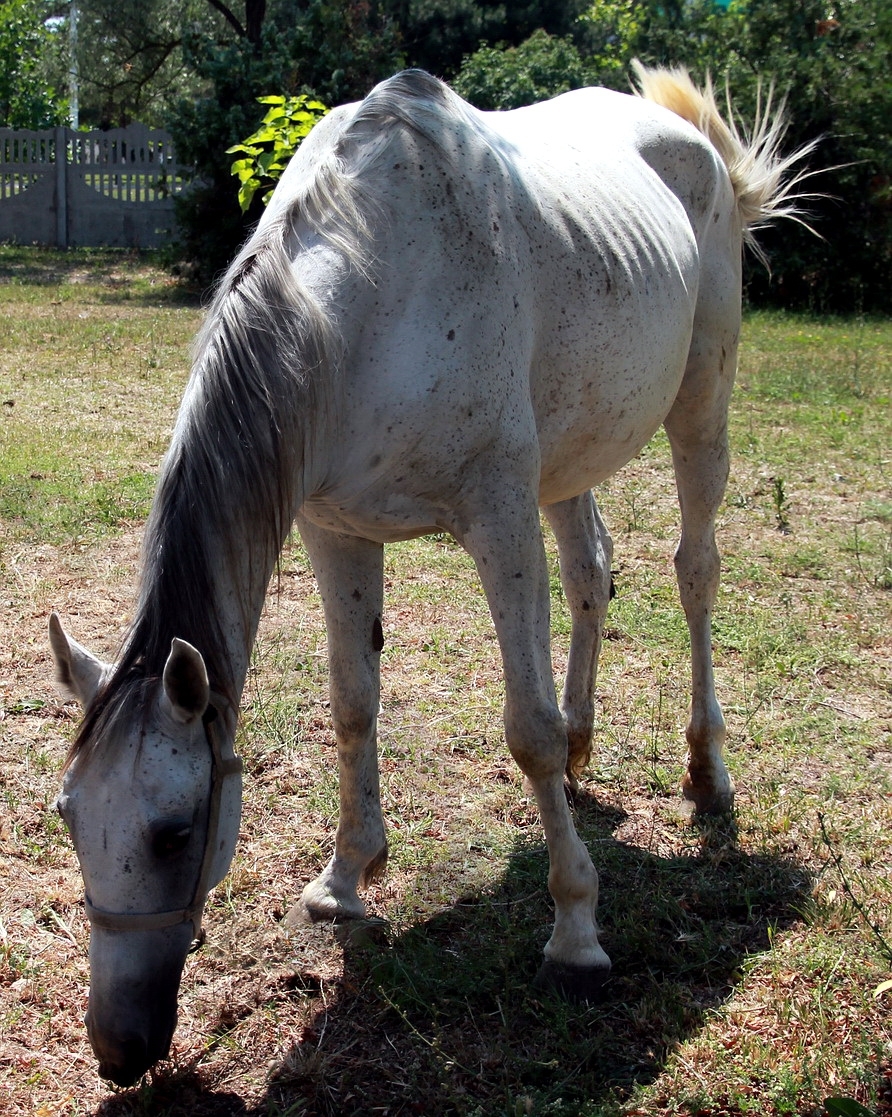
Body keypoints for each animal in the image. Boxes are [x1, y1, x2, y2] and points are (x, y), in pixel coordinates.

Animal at [52, 65, 812, 1085]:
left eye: (173, 831)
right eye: (67, 815)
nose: (118, 1048)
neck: (371, 298)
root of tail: (690, 141)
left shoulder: (497, 514)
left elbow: (526, 729)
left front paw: (576, 931)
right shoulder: (335, 531)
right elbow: (354, 703)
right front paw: (345, 878)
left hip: (700, 409)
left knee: (695, 573)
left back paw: (706, 767)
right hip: (567, 458)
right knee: (591, 571)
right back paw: (588, 745)